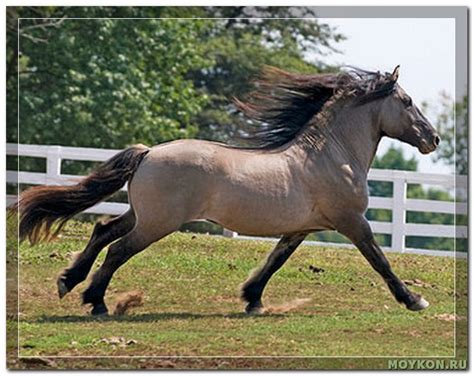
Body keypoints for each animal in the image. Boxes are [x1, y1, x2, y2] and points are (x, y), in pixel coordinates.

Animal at [12, 66, 440, 316]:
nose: (433, 139)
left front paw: (252, 298)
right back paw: (96, 302)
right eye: (407, 101)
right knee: (117, 249)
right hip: (157, 224)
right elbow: (380, 261)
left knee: (102, 231)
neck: (330, 156)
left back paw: (68, 282)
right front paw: (414, 300)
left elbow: (276, 260)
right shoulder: (351, 222)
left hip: (142, 215)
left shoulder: (301, 228)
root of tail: (149, 152)